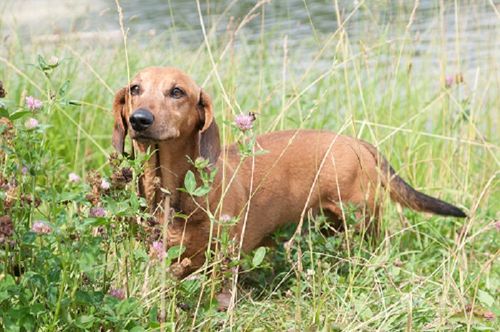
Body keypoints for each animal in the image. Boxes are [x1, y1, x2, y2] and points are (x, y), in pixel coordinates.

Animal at [111, 67, 466, 278]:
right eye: (135, 88)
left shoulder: (221, 264)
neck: (174, 192)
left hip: (362, 221)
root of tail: (357, 142)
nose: (139, 120)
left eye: (177, 92)